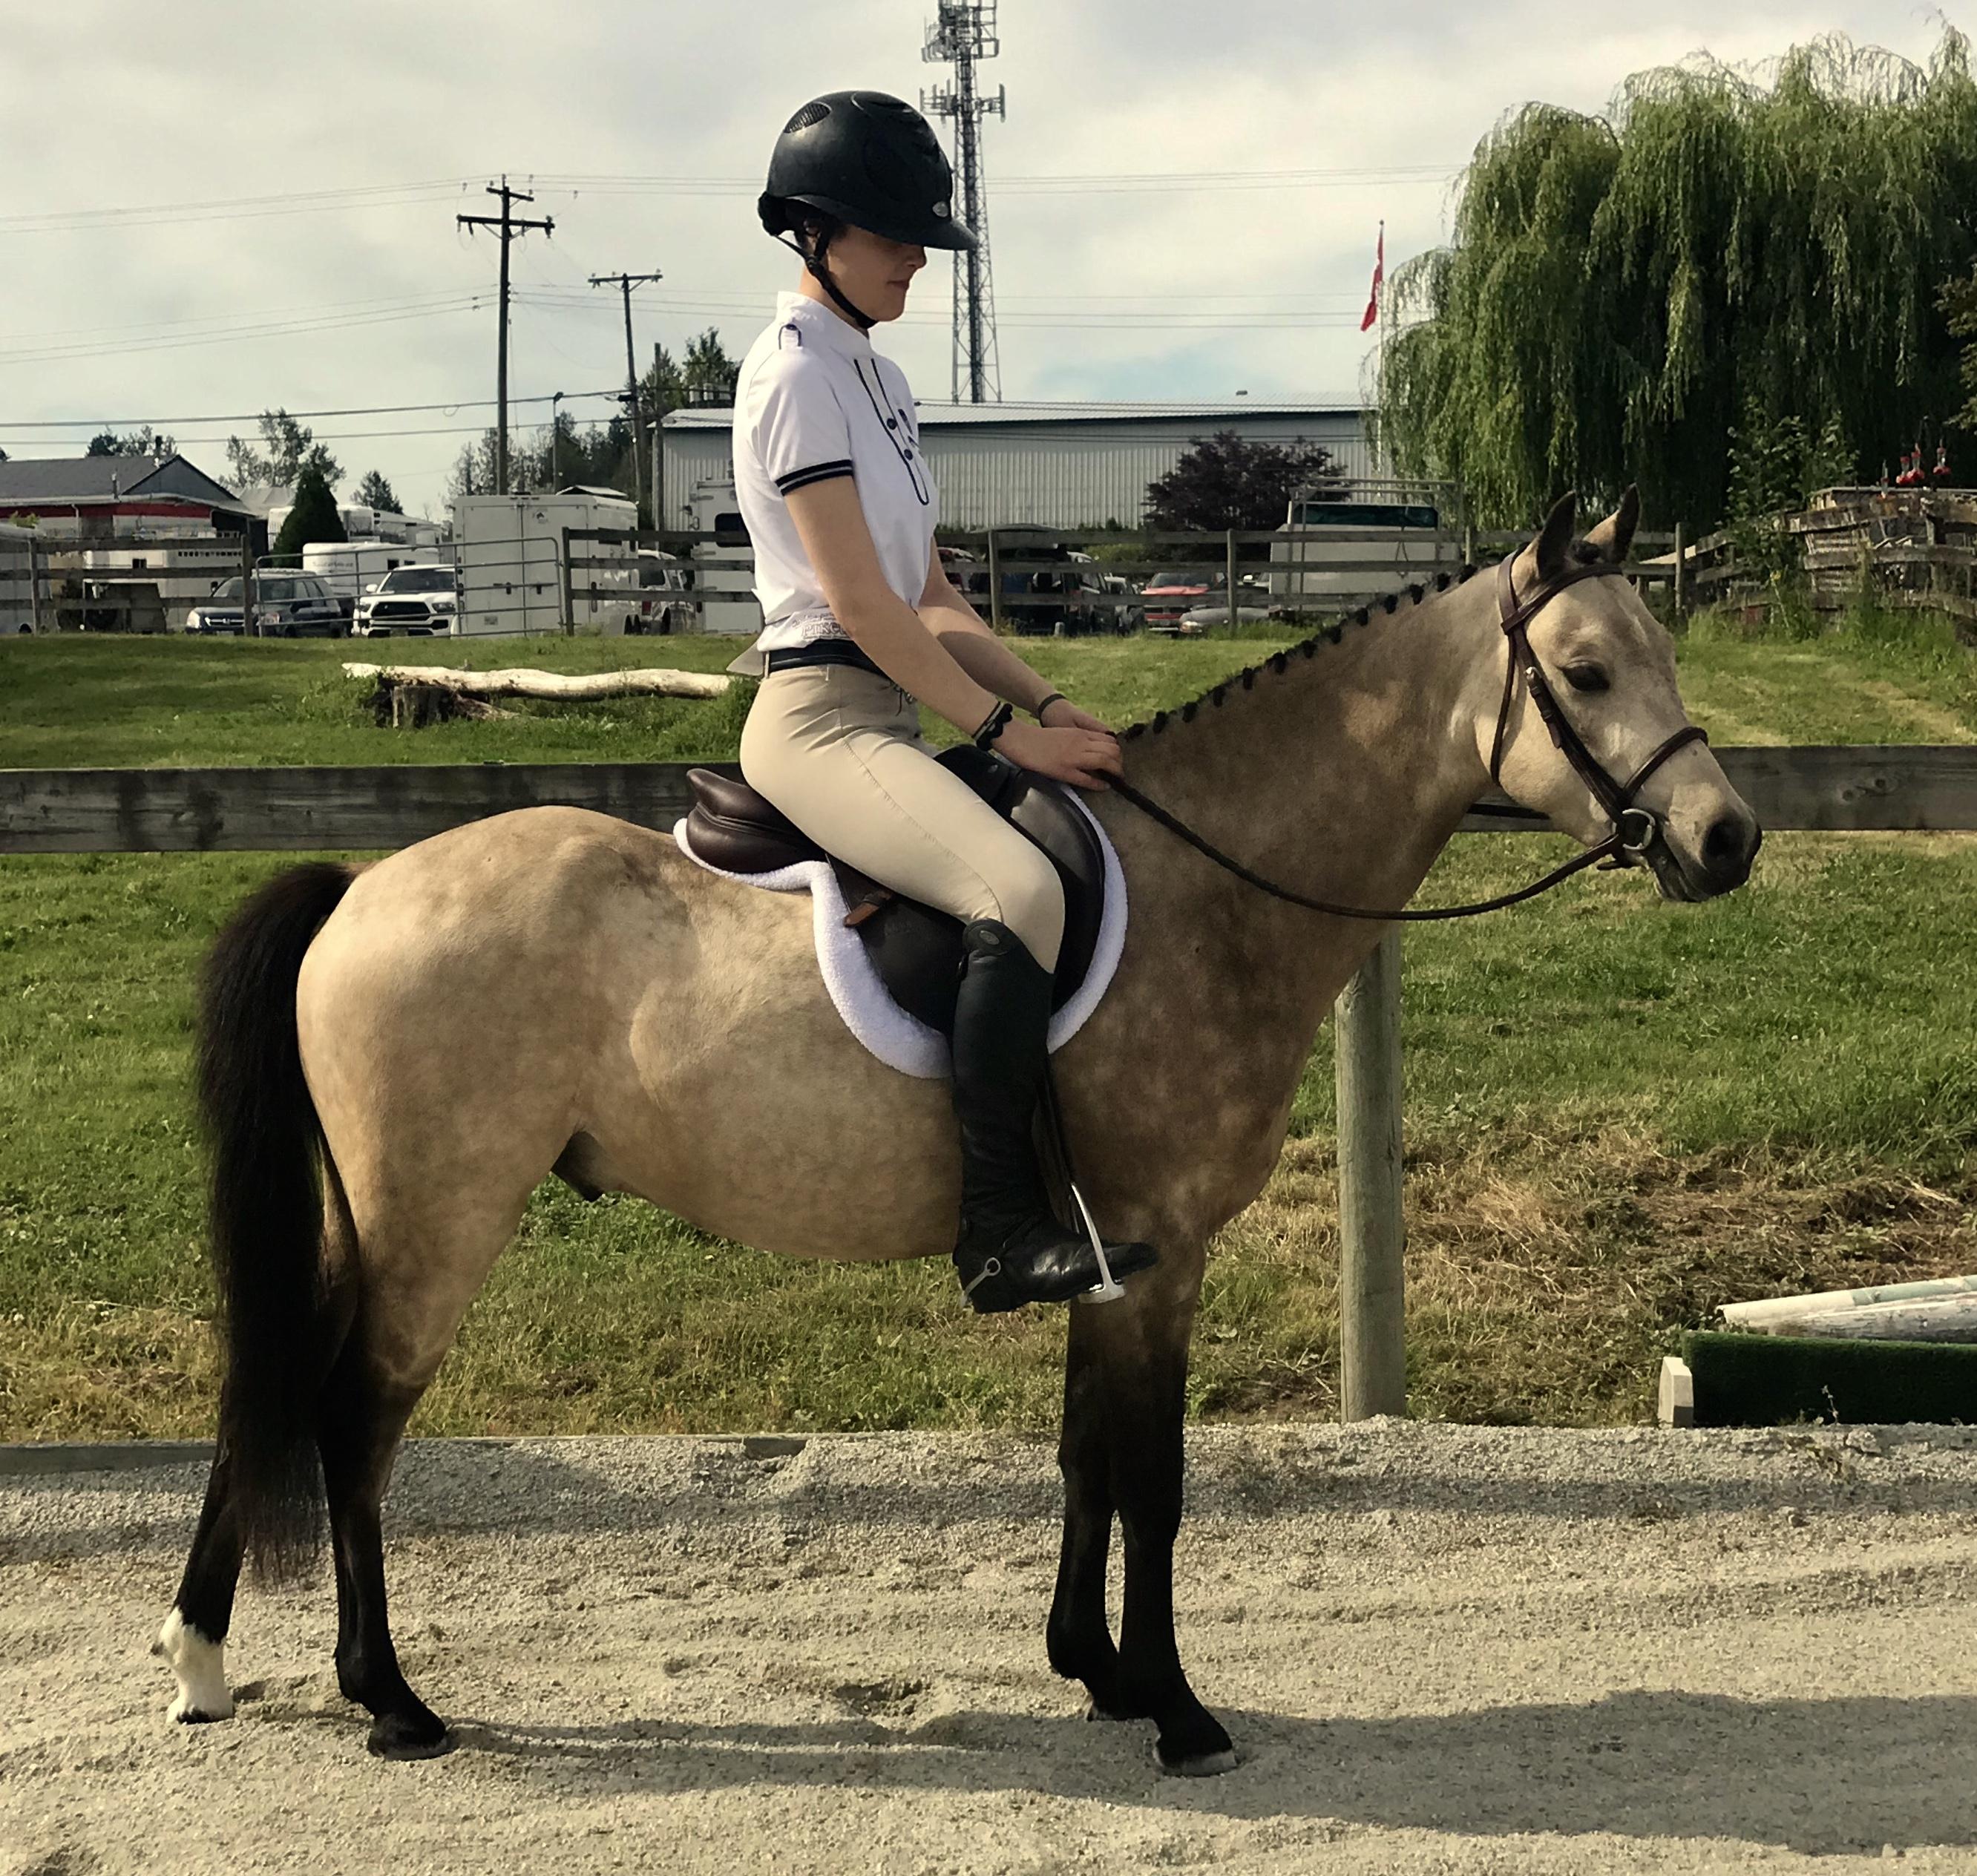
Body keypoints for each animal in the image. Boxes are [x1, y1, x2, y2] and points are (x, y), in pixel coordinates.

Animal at [156, 489, 1759, 1770]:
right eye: (1585, 670)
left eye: (1663, 654)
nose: (1726, 838)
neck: (1212, 888)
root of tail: (362, 887)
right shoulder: (1161, 1252)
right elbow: (1154, 1480)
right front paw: (1178, 1708)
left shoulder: (1104, 1253)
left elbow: (1083, 1455)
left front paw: (1096, 1672)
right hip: (441, 1217)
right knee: (350, 1416)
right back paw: (387, 1698)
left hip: (384, 1217)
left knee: (284, 1389)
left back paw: (206, 1659)